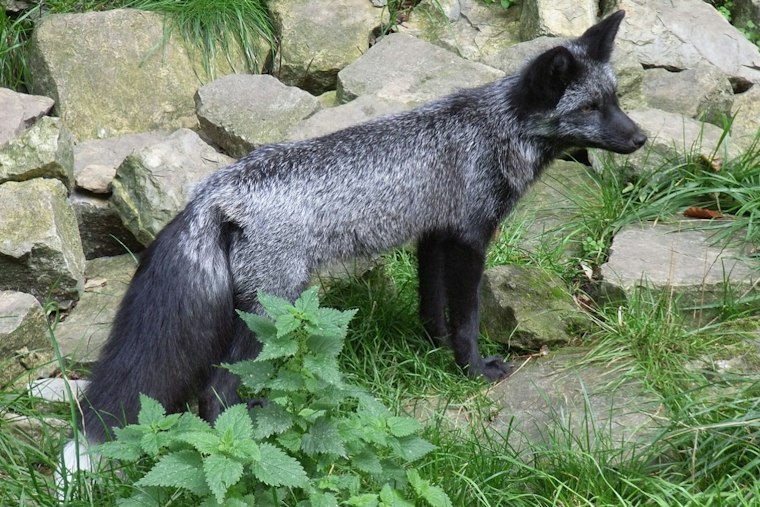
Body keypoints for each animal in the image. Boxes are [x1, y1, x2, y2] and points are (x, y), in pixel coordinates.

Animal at [58, 9, 645, 493]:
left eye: (616, 100)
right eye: (591, 107)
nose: (640, 138)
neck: (491, 130)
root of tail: (213, 192)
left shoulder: (433, 236)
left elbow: (433, 309)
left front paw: (432, 352)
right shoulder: (468, 239)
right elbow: (467, 319)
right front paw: (474, 370)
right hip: (270, 310)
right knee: (217, 394)